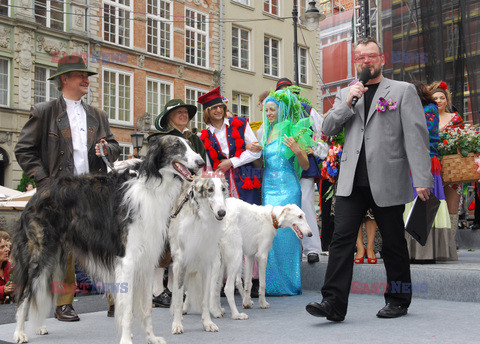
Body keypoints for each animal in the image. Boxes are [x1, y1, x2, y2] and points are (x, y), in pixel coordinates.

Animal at [12, 136, 204, 342]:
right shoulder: (127, 260)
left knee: (39, 291)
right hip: (38, 254)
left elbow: (146, 309)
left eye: (189, 144)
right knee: (24, 294)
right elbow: (127, 310)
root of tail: (36, 196)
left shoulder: (147, 260)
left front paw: (151, 337)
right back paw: (19, 333)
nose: (201, 163)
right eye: (176, 145)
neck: (150, 185)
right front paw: (127, 339)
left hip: (53, 257)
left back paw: (39, 326)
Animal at [169, 175, 229, 334]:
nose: (222, 213)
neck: (201, 218)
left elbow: (205, 299)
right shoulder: (181, 262)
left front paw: (207, 323)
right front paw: (177, 324)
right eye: (210, 189)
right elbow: (178, 297)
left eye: (223, 189)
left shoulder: (206, 263)